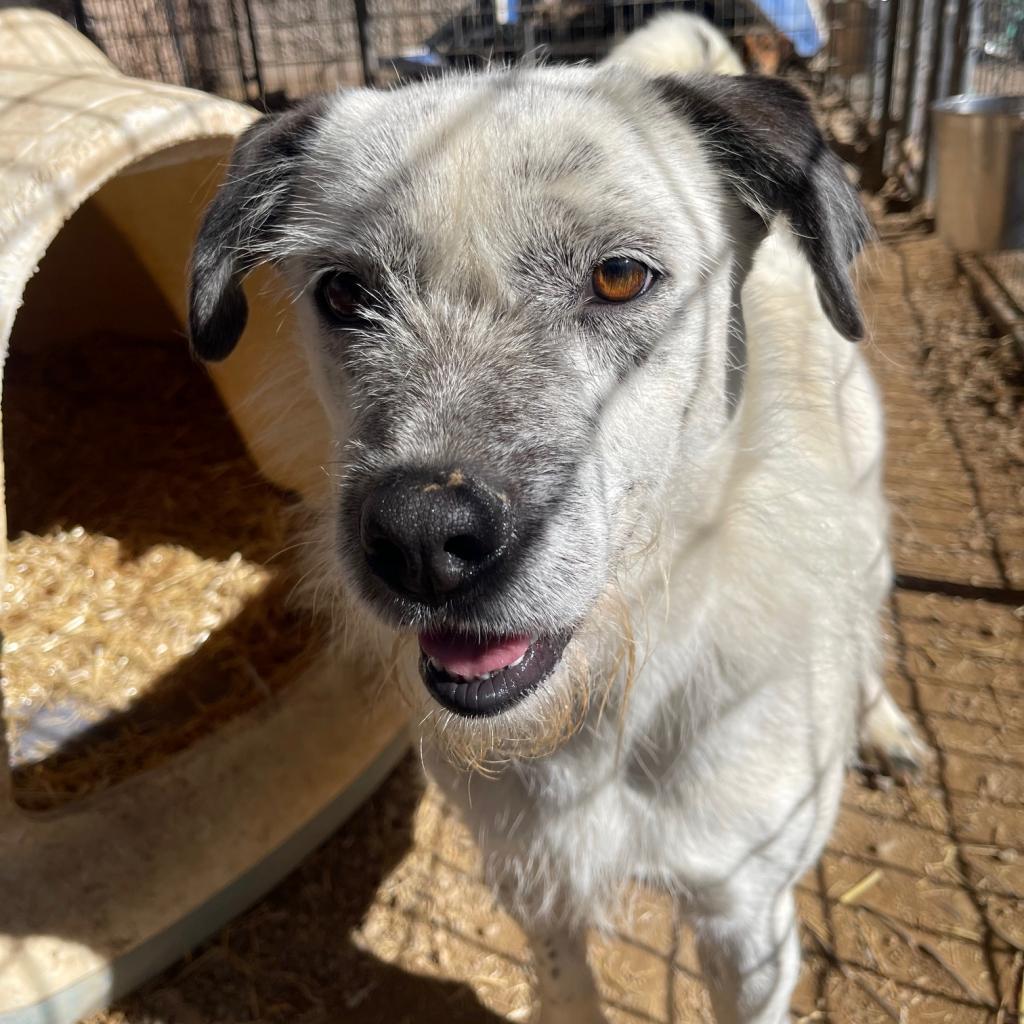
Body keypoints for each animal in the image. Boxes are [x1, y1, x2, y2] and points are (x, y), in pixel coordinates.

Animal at [188, 59, 925, 1019]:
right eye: (343, 293)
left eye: (619, 276)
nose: (421, 539)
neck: (614, 700)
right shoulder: (529, 883)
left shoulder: (747, 919)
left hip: (866, 526)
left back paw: (883, 727)